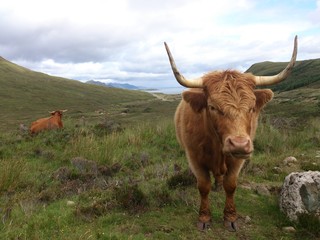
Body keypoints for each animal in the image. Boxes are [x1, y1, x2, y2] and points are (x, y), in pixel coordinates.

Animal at [165, 36, 298, 232]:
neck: (217, 148)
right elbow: (203, 186)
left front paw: (231, 218)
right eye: (212, 107)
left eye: (252, 107)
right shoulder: (194, 157)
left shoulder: (238, 160)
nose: (239, 144)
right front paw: (204, 218)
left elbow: (231, 185)